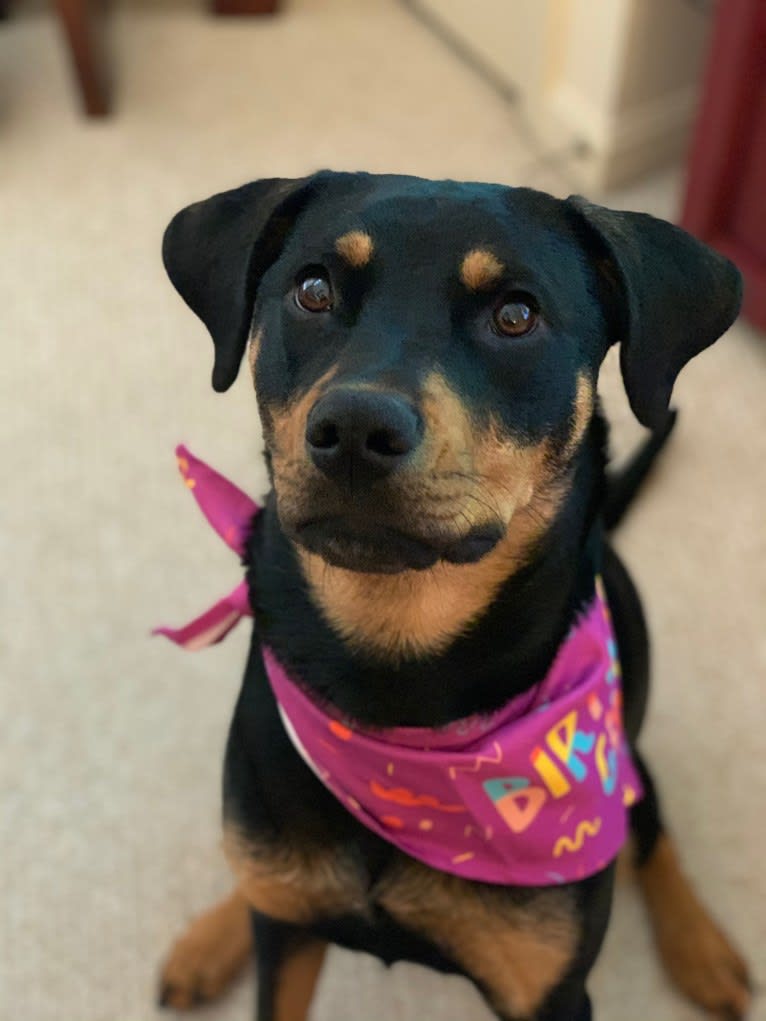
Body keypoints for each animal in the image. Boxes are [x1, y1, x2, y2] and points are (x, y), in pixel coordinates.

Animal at [154, 171, 751, 1016]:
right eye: (312, 289)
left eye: (516, 314)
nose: (355, 427)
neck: (394, 682)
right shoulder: (286, 934)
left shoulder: (550, 990)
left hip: (629, 740)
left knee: (650, 819)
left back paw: (701, 944)